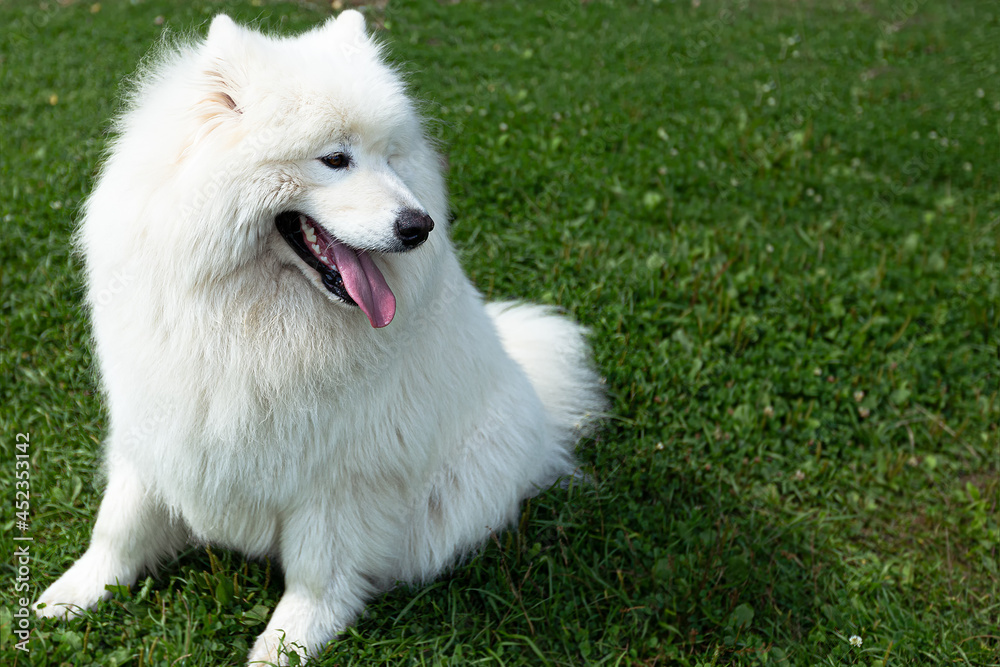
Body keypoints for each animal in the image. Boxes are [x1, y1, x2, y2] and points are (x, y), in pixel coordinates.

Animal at [33, 10, 600, 667]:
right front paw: (71, 594)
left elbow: (317, 576)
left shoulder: (341, 472)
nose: (420, 226)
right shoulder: (158, 419)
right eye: (335, 159)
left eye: (390, 158)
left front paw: (285, 646)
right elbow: (119, 523)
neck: (247, 313)